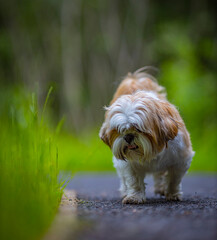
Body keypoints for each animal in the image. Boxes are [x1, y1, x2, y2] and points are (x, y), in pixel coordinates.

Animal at [99, 67, 194, 204]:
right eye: (119, 130)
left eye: (138, 128)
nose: (128, 136)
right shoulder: (129, 165)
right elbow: (134, 181)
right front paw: (135, 197)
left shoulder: (180, 159)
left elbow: (174, 180)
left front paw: (172, 194)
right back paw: (125, 191)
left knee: (160, 174)